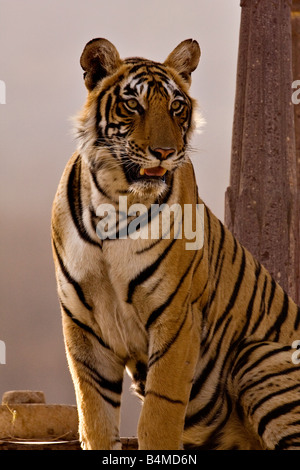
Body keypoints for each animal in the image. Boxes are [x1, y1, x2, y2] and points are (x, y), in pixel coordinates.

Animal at [51, 38, 300, 450]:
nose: (165, 152)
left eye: (176, 106)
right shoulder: (83, 324)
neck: (115, 201)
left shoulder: (176, 314)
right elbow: (95, 419)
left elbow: (159, 414)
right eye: (132, 104)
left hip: (258, 356)